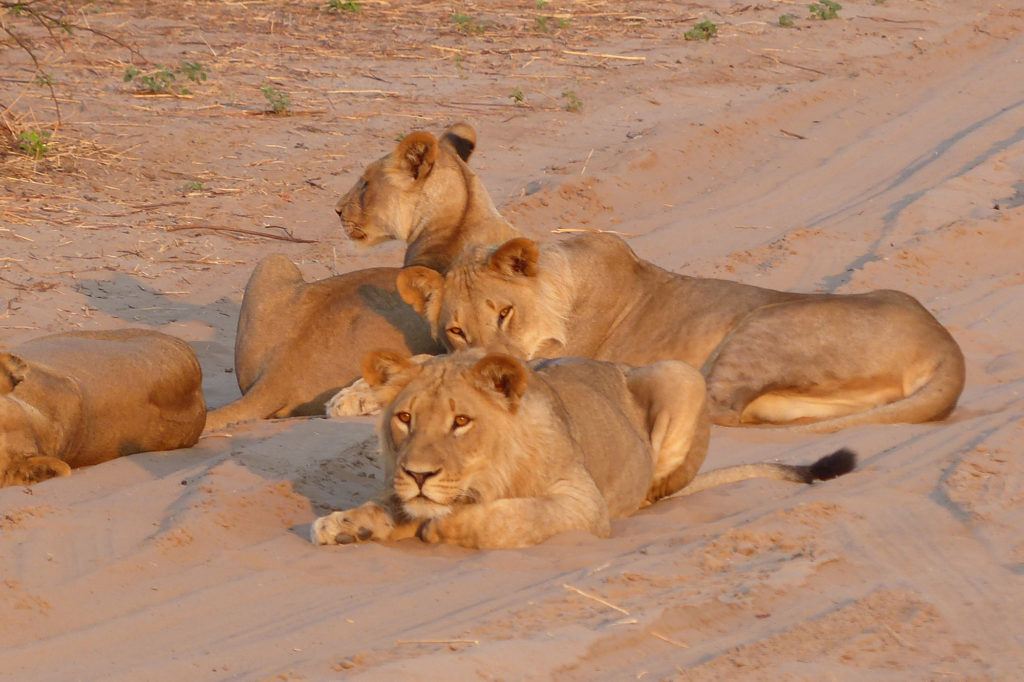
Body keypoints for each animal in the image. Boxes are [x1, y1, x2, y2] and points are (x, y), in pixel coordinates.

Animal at [206, 123, 521, 431]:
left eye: (366, 183)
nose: (337, 209)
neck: (462, 215)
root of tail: (276, 377)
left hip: (274, 259)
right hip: (275, 260)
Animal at [311, 350, 856, 549]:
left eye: (461, 421)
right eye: (405, 418)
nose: (419, 474)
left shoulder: (581, 503)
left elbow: (511, 518)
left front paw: (447, 526)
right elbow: (389, 505)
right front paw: (345, 523)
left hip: (679, 374)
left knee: (654, 491)